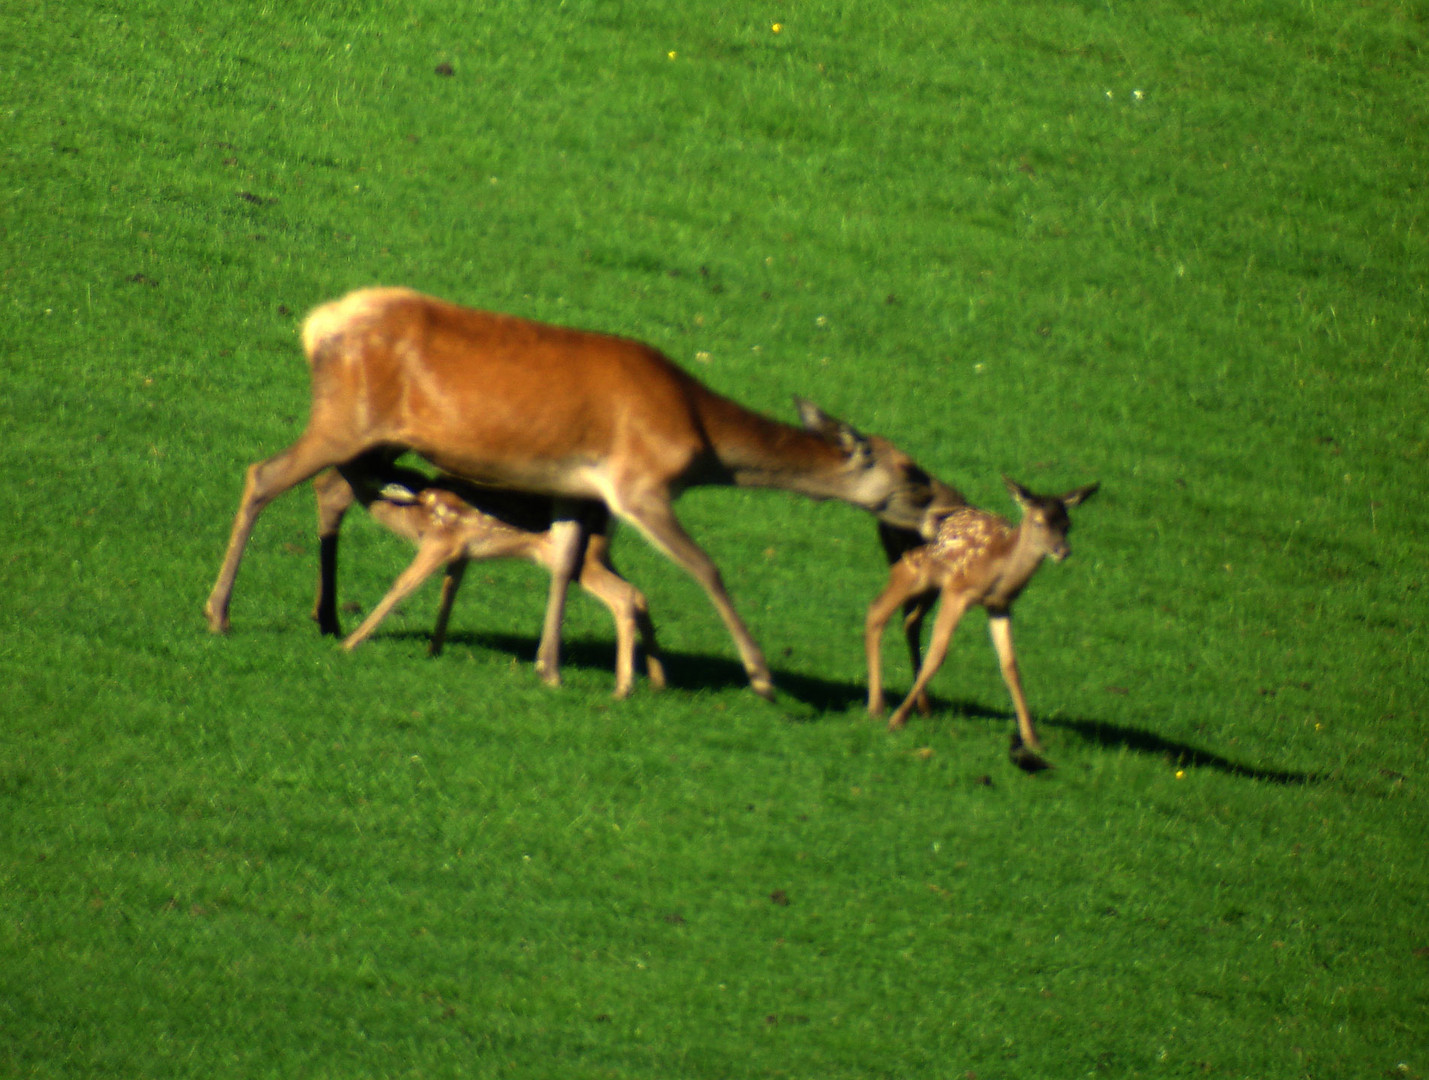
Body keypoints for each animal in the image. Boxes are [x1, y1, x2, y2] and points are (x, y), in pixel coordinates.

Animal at [310, 462, 665, 700]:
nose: (327, 473)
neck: (415, 516)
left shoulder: (441, 541)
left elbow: (401, 587)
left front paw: (349, 643)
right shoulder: (461, 553)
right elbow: (448, 592)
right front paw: (433, 649)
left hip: (579, 559)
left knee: (624, 596)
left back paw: (623, 688)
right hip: (597, 556)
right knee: (639, 594)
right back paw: (657, 680)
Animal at [863, 480, 1097, 748]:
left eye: (1067, 524)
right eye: (1038, 522)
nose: (1062, 551)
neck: (998, 571)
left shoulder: (1000, 606)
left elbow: (1010, 665)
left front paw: (1031, 738)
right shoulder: (957, 591)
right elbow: (937, 654)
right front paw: (896, 721)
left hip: (929, 584)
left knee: (909, 621)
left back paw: (922, 707)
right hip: (910, 567)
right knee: (876, 612)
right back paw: (877, 707)